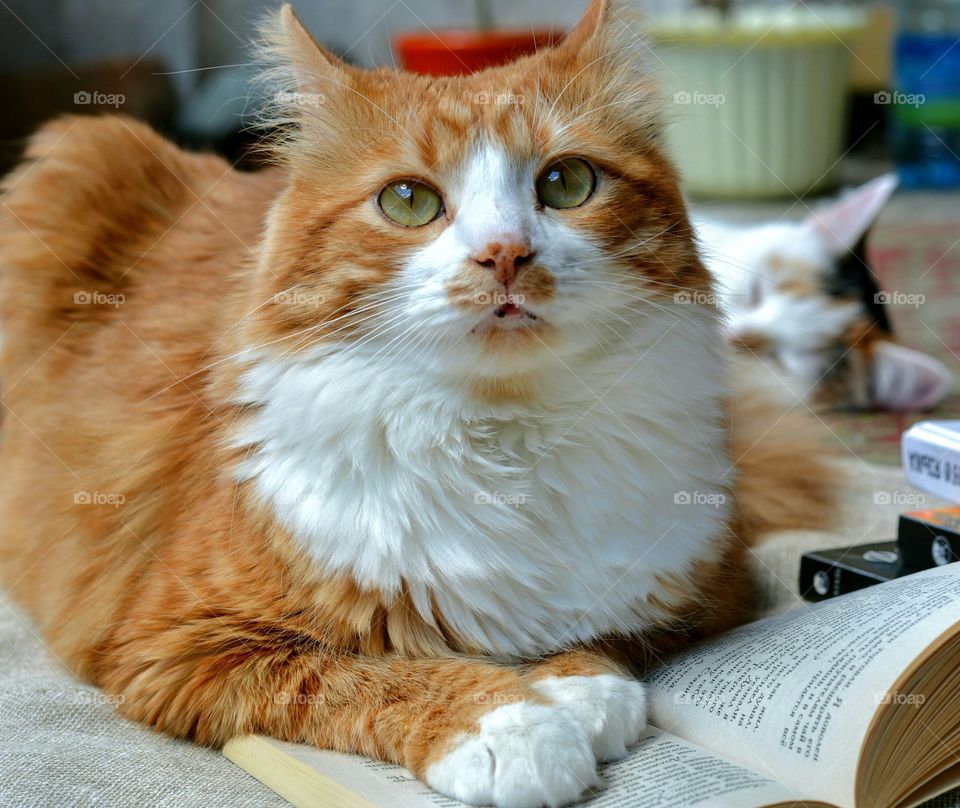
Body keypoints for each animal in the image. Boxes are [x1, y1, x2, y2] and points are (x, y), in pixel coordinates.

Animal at [0, 3, 836, 804]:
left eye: (566, 184)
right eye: (408, 201)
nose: (505, 255)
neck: (505, 432)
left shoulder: (712, 584)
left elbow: (607, 639)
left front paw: (574, 693)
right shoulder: (182, 641)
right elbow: (377, 673)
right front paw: (510, 728)